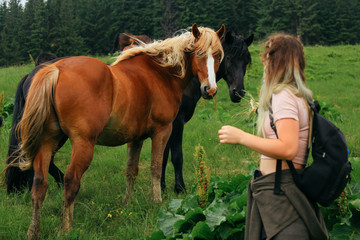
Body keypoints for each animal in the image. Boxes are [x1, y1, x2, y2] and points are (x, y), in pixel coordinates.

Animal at [18, 23, 225, 239]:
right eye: (199, 53)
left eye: (218, 55)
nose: (210, 90)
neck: (160, 74)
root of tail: (56, 69)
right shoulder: (163, 131)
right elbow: (156, 167)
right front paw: (157, 201)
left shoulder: (135, 139)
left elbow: (131, 171)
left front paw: (127, 203)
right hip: (83, 144)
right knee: (71, 181)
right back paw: (66, 228)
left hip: (47, 142)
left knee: (40, 185)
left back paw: (34, 231)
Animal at [160, 31, 253, 193]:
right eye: (228, 58)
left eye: (246, 61)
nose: (238, 92)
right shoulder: (176, 122)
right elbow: (176, 157)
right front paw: (179, 188)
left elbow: (163, 157)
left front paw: (162, 188)